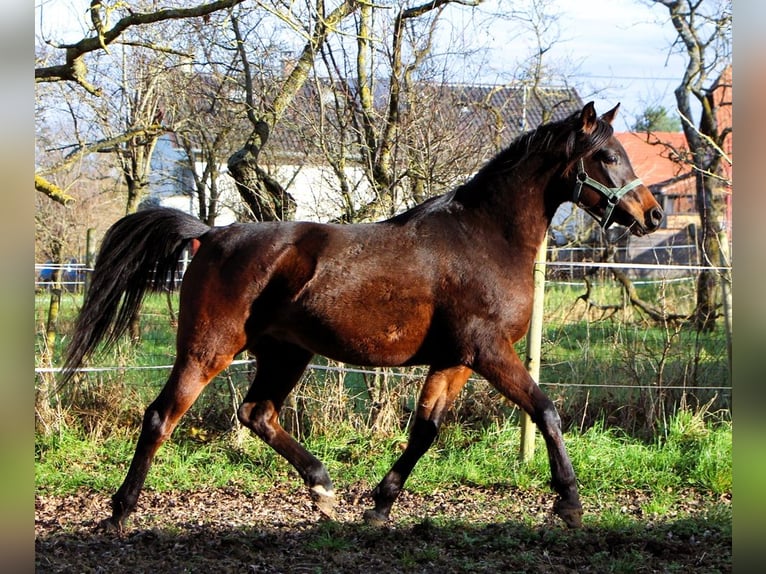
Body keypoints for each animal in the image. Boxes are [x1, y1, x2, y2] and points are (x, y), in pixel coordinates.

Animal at [63, 101, 664, 532]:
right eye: (608, 157)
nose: (654, 214)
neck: (485, 239)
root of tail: (209, 235)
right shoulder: (489, 351)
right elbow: (546, 411)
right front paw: (569, 502)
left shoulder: (453, 360)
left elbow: (425, 430)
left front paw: (379, 504)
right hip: (207, 348)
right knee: (161, 418)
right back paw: (119, 512)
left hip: (286, 353)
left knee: (257, 413)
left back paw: (323, 489)